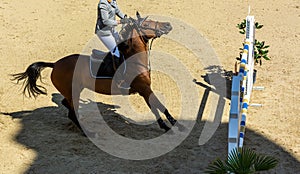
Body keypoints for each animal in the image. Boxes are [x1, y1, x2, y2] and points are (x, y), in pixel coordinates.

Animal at [11, 12, 180, 135]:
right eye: (146, 24)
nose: (168, 25)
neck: (134, 59)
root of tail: (55, 64)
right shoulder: (144, 88)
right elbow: (158, 106)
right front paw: (172, 126)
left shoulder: (144, 89)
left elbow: (157, 107)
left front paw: (170, 125)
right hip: (73, 91)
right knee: (71, 111)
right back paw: (88, 133)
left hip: (73, 91)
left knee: (68, 105)